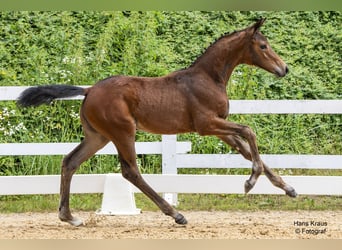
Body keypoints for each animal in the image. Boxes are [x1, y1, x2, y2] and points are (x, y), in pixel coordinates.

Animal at [18, 18, 296, 227]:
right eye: (263, 46)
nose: (284, 69)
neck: (208, 78)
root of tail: (88, 90)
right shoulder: (206, 125)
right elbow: (250, 132)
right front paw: (251, 181)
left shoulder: (219, 128)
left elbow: (246, 149)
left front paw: (287, 188)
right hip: (123, 132)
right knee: (130, 171)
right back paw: (176, 214)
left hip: (98, 136)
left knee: (70, 162)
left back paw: (69, 217)